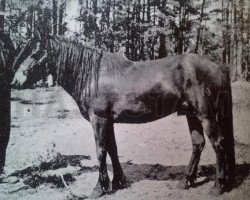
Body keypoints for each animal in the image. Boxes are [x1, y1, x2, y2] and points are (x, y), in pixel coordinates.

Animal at [10, 33, 235, 198]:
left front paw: (99, 188)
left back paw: (218, 186)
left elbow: (101, 151)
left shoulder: (99, 119)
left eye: (36, 53)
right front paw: (118, 182)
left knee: (218, 143)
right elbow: (112, 149)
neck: (94, 74)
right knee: (198, 144)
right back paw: (186, 181)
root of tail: (218, 66)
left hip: (205, 115)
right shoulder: (108, 121)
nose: (15, 81)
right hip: (191, 114)